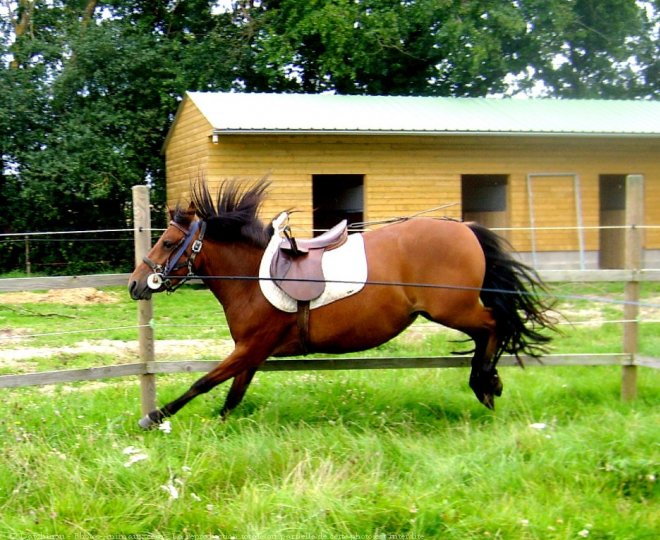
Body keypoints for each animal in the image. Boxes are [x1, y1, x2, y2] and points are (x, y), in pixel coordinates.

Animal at [127, 179, 552, 428]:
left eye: (167, 242)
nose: (135, 284)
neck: (252, 277)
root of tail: (465, 228)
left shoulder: (251, 347)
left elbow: (202, 382)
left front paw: (153, 417)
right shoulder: (252, 352)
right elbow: (232, 395)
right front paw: (218, 426)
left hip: (454, 310)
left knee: (495, 325)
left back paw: (485, 382)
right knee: (491, 331)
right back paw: (487, 384)